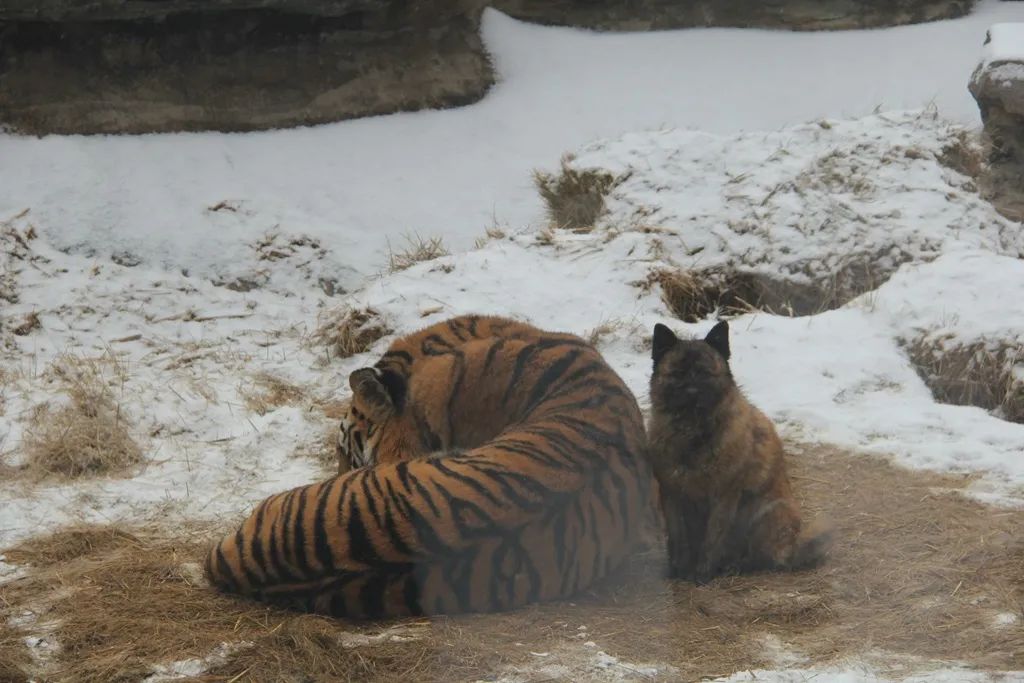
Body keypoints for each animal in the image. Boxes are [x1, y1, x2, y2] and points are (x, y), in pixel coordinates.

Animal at [647, 321, 831, 581]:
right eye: (678, 374)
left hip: (766, 513)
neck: (693, 437)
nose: (692, 393)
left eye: (704, 373)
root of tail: (794, 546)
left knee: (764, 558)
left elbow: (712, 538)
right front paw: (678, 569)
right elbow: (677, 537)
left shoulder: (724, 496)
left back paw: (735, 565)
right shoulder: (671, 494)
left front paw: (702, 574)